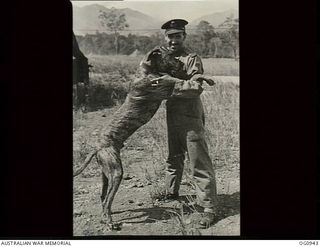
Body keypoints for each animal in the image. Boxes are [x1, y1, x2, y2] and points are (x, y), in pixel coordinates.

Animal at [74, 46, 216, 232]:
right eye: (170, 55)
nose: (180, 63)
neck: (146, 69)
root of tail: (98, 147)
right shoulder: (170, 86)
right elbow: (192, 79)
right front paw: (206, 78)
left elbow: (192, 77)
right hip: (116, 172)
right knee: (107, 199)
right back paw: (110, 222)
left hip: (106, 174)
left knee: (103, 197)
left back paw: (107, 217)